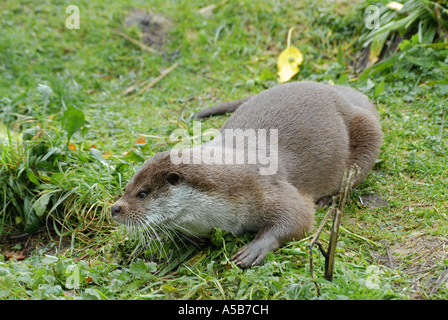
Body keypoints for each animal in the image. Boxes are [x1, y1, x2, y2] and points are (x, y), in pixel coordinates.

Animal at [111, 80, 382, 268]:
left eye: (142, 194)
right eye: (127, 188)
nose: (114, 208)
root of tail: (345, 96)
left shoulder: (266, 186)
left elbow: (298, 216)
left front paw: (255, 249)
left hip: (366, 132)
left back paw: (328, 199)